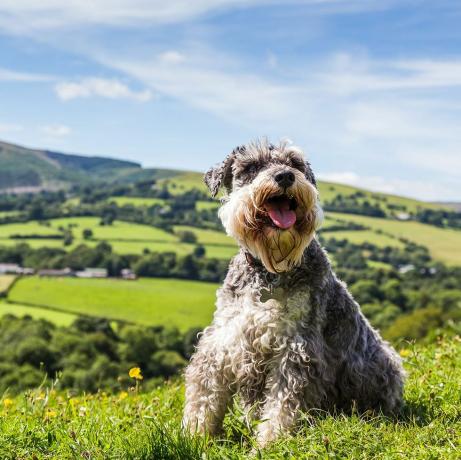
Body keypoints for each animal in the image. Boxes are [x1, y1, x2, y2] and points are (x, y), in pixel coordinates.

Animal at [182, 139, 402, 446]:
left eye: (295, 163)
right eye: (251, 166)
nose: (285, 176)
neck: (270, 272)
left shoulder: (296, 349)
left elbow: (282, 405)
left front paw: (268, 444)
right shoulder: (223, 341)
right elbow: (204, 394)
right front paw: (195, 435)